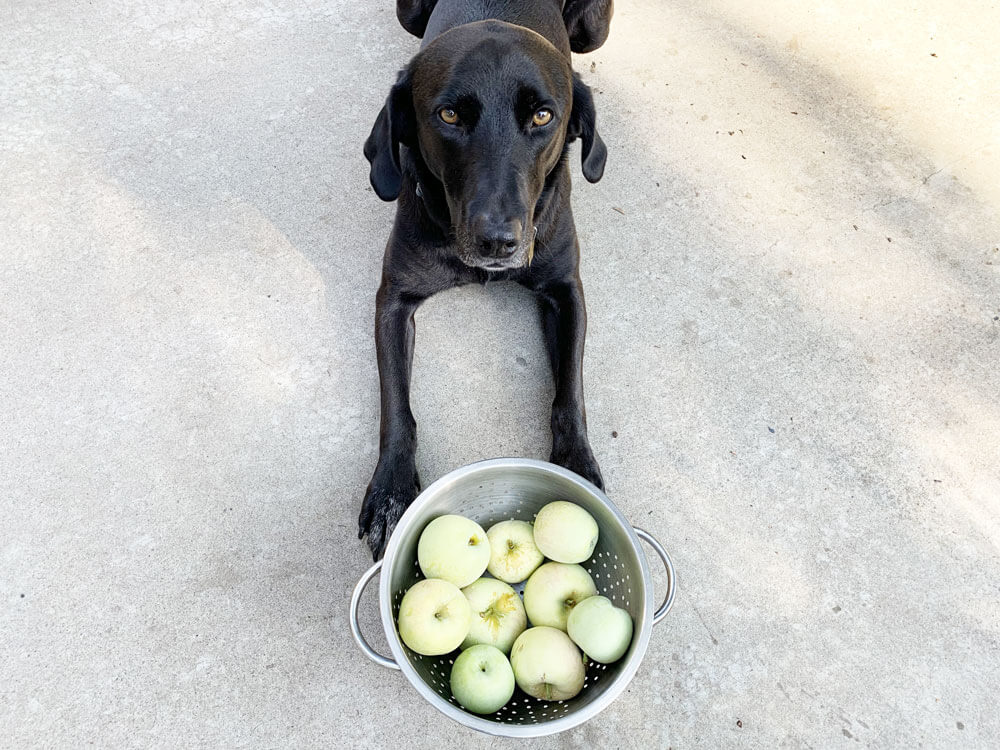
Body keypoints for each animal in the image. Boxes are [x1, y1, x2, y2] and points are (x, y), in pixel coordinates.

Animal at [358, 0, 608, 560]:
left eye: (543, 116)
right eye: (449, 115)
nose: (497, 241)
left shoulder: (567, 292)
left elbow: (570, 395)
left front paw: (579, 467)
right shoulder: (393, 299)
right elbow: (396, 407)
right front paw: (390, 489)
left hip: (595, 32)